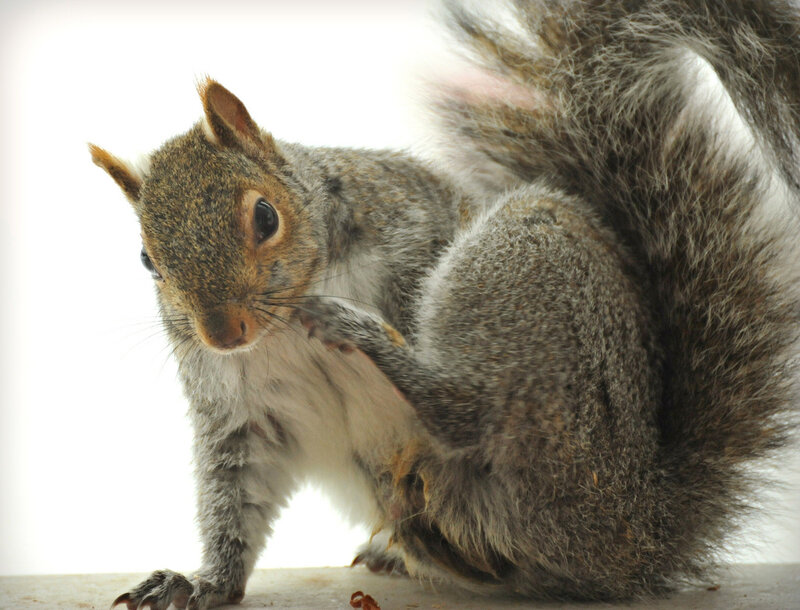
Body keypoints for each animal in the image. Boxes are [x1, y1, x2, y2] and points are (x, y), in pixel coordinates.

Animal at [91, 0, 799, 606]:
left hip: (528, 297)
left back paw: (364, 339)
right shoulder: (244, 413)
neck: (282, 326)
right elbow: (237, 496)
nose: (222, 333)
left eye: (265, 216)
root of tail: (636, 529)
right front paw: (203, 582)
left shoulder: (415, 240)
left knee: (465, 410)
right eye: (148, 260)